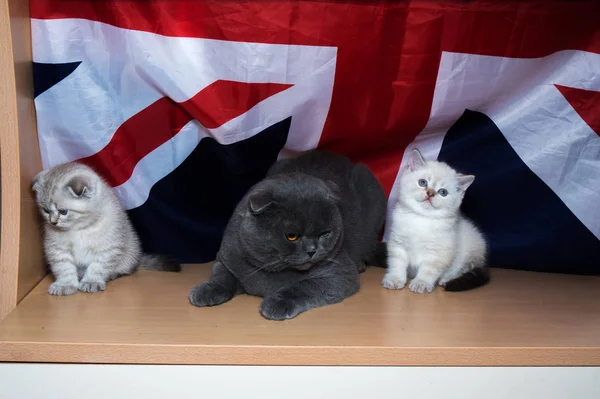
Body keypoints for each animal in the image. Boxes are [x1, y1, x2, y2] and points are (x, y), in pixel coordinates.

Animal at [31, 161, 179, 296]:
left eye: (63, 211)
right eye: (45, 210)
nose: (53, 222)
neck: (80, 228)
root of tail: (137, 261)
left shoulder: (107, 248)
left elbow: (97, 267)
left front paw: (91, 281)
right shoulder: (58, 249)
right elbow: (64, 268)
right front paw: (65, 284)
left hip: (129, 255)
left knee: (123, 270)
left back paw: (111, 275)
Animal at [188, 151, 386, 322]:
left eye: (325, 233)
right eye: (291, 236)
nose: (312, 250)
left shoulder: (340, 274)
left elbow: (303, 287)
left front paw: (277, 303)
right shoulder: (225, 259)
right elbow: (221, 277)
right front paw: (205, 291)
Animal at [382, 149, 490, 294]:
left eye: (443, 192)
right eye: (422, 183)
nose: (430, 193)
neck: (421, 218)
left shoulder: (438, 252)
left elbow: (428, 270)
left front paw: (421, 283)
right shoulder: (398, 243)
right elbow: (396, 264)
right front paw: (395, 279)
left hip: (471, 250)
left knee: (465, 268)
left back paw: (447, 279)